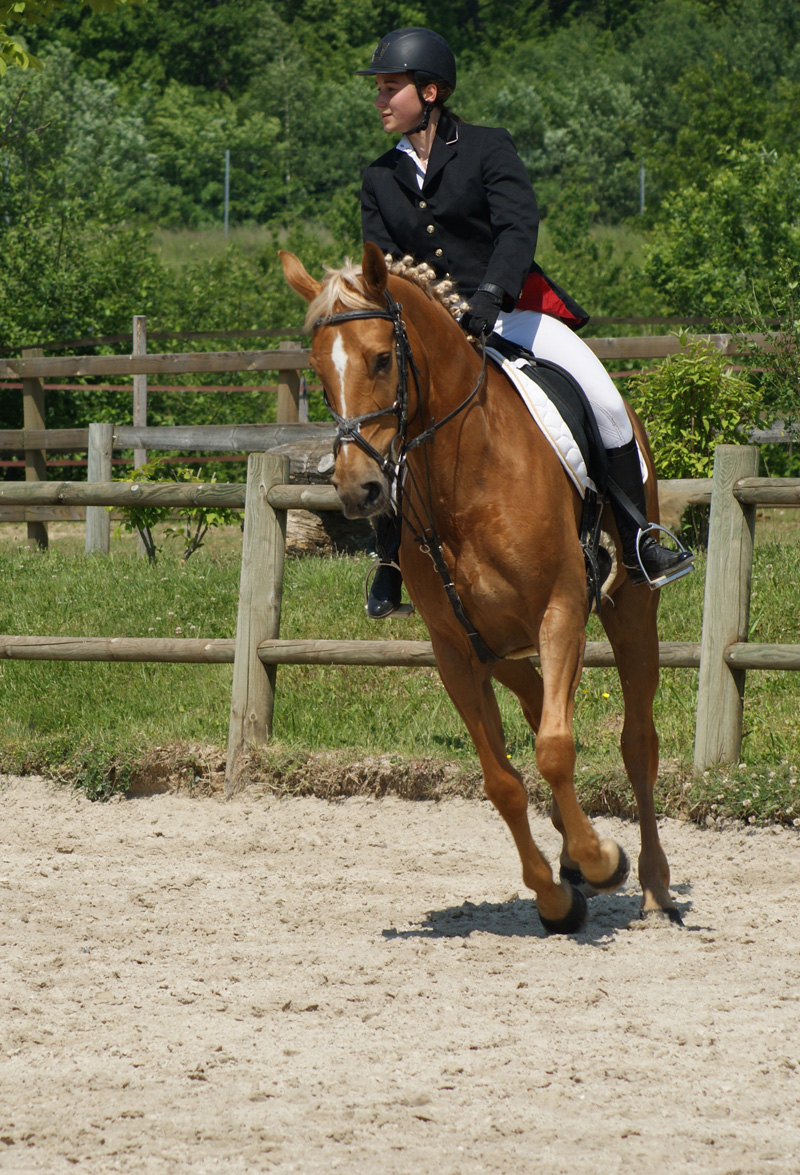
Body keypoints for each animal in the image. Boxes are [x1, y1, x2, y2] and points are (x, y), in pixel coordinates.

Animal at [281, 243, 681, 930]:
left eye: (382, 359)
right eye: (317, 370)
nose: (359, 490)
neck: (463, 476)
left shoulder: (560, 612)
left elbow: (553, 750)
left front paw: (601, 862)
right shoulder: (455, 648)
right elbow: (503, 779)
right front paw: (555, 894)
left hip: (629, 608)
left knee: (636, 741)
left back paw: (653, 885)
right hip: (498, 645)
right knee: (539, 701)